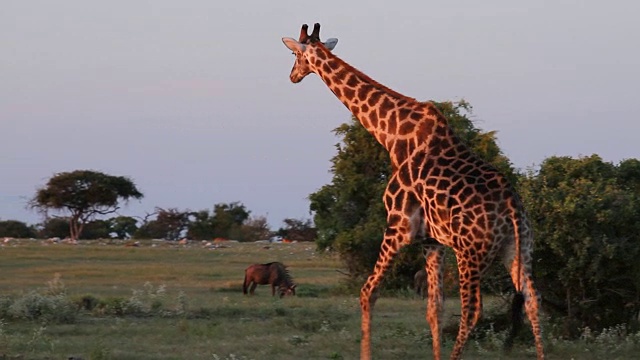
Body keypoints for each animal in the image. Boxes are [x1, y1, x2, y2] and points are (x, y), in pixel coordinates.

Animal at [282, 23, 544, 358]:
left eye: (294, 54)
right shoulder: (432, 240)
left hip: (470, 253)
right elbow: (434, 309)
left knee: (473, 311)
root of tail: (513, 208)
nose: (292, 76)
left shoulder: (398, 226)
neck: (392, 135)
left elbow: (368, 293)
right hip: (517, 250)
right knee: (533, 302)